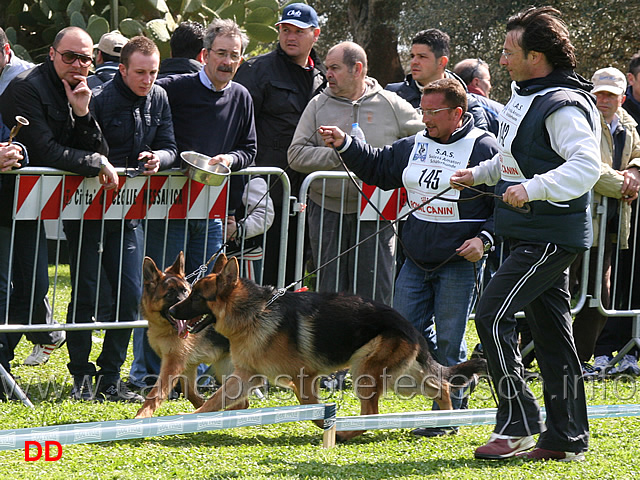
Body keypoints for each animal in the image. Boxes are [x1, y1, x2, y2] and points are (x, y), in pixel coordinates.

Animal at [135, 253, 245, 418]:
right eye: (169, 294)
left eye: (186, 291)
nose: (177, 309)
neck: (166, 329)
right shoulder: (187, 365)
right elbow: (189, 392)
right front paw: (201, 405)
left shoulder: (173, 365)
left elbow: (156, 394)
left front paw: (142, 415)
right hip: (224, 368)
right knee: (242, 403)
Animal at [169, 253, 484, 440]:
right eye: (189, 292)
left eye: (196, 296)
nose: (171, 311)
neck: (255, 312)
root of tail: (408, 325)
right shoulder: (244, 377)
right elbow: (212, 402)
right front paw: (188, 422)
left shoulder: (304, 378)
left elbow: (309, 405)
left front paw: (326, 425)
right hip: (400, 379)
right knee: (441, 386)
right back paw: (444, 420)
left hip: (365, 372)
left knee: (372, 413)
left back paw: (347, 434)